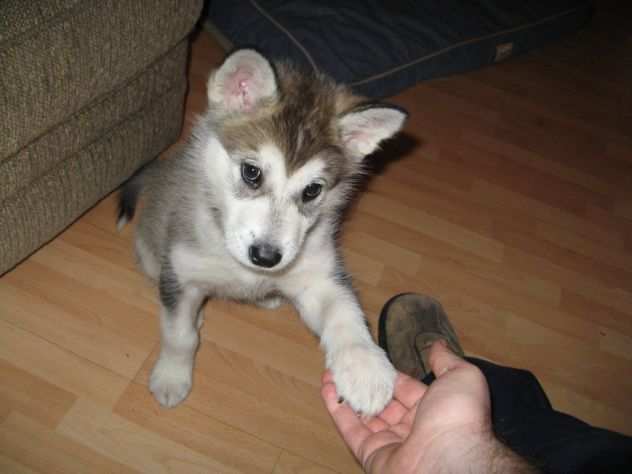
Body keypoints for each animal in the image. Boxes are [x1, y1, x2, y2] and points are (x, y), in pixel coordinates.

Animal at [116, 48, 408, 414]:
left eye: (313, 190)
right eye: (251, 172)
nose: (267, 258)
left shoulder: (318, 275)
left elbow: (345, 311)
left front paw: (365, 368)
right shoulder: (181, 273)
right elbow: (179, 336)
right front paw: (171, 376)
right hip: (152, 254)